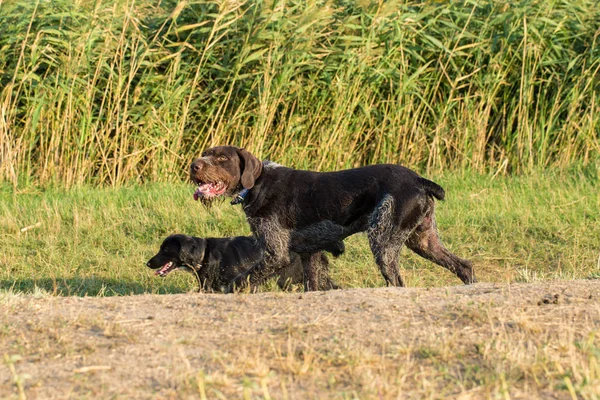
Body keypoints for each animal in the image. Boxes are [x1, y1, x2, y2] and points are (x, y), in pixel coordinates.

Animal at [190, 145, 476, 292]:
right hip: (423, 240)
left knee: (396, 281)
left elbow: (242, 279)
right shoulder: (310, 254)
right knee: (464, 266)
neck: (257, 184)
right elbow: (312, 284)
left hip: (384, 242)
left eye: (222, 157)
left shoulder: (276, 253)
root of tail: (419, 179)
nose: (194, 165)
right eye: (206, 152)